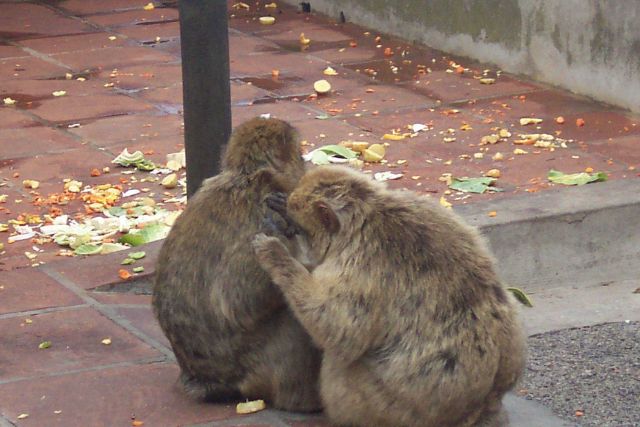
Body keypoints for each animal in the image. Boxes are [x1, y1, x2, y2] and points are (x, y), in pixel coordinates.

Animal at [152, 117, 322, 412]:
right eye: (299, 155)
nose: (304, 165)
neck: (248, 176)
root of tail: (205, 380)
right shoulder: (264, 212)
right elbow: (238, 301)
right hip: (257, 368)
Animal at [252, 165, 526, 427]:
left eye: (302, 229)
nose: (292, 230)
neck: (366, 216)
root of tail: (482, 405)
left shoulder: (362, 266)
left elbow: (338, 329)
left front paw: (278, 254)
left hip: (390, 406)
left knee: (340, 363)